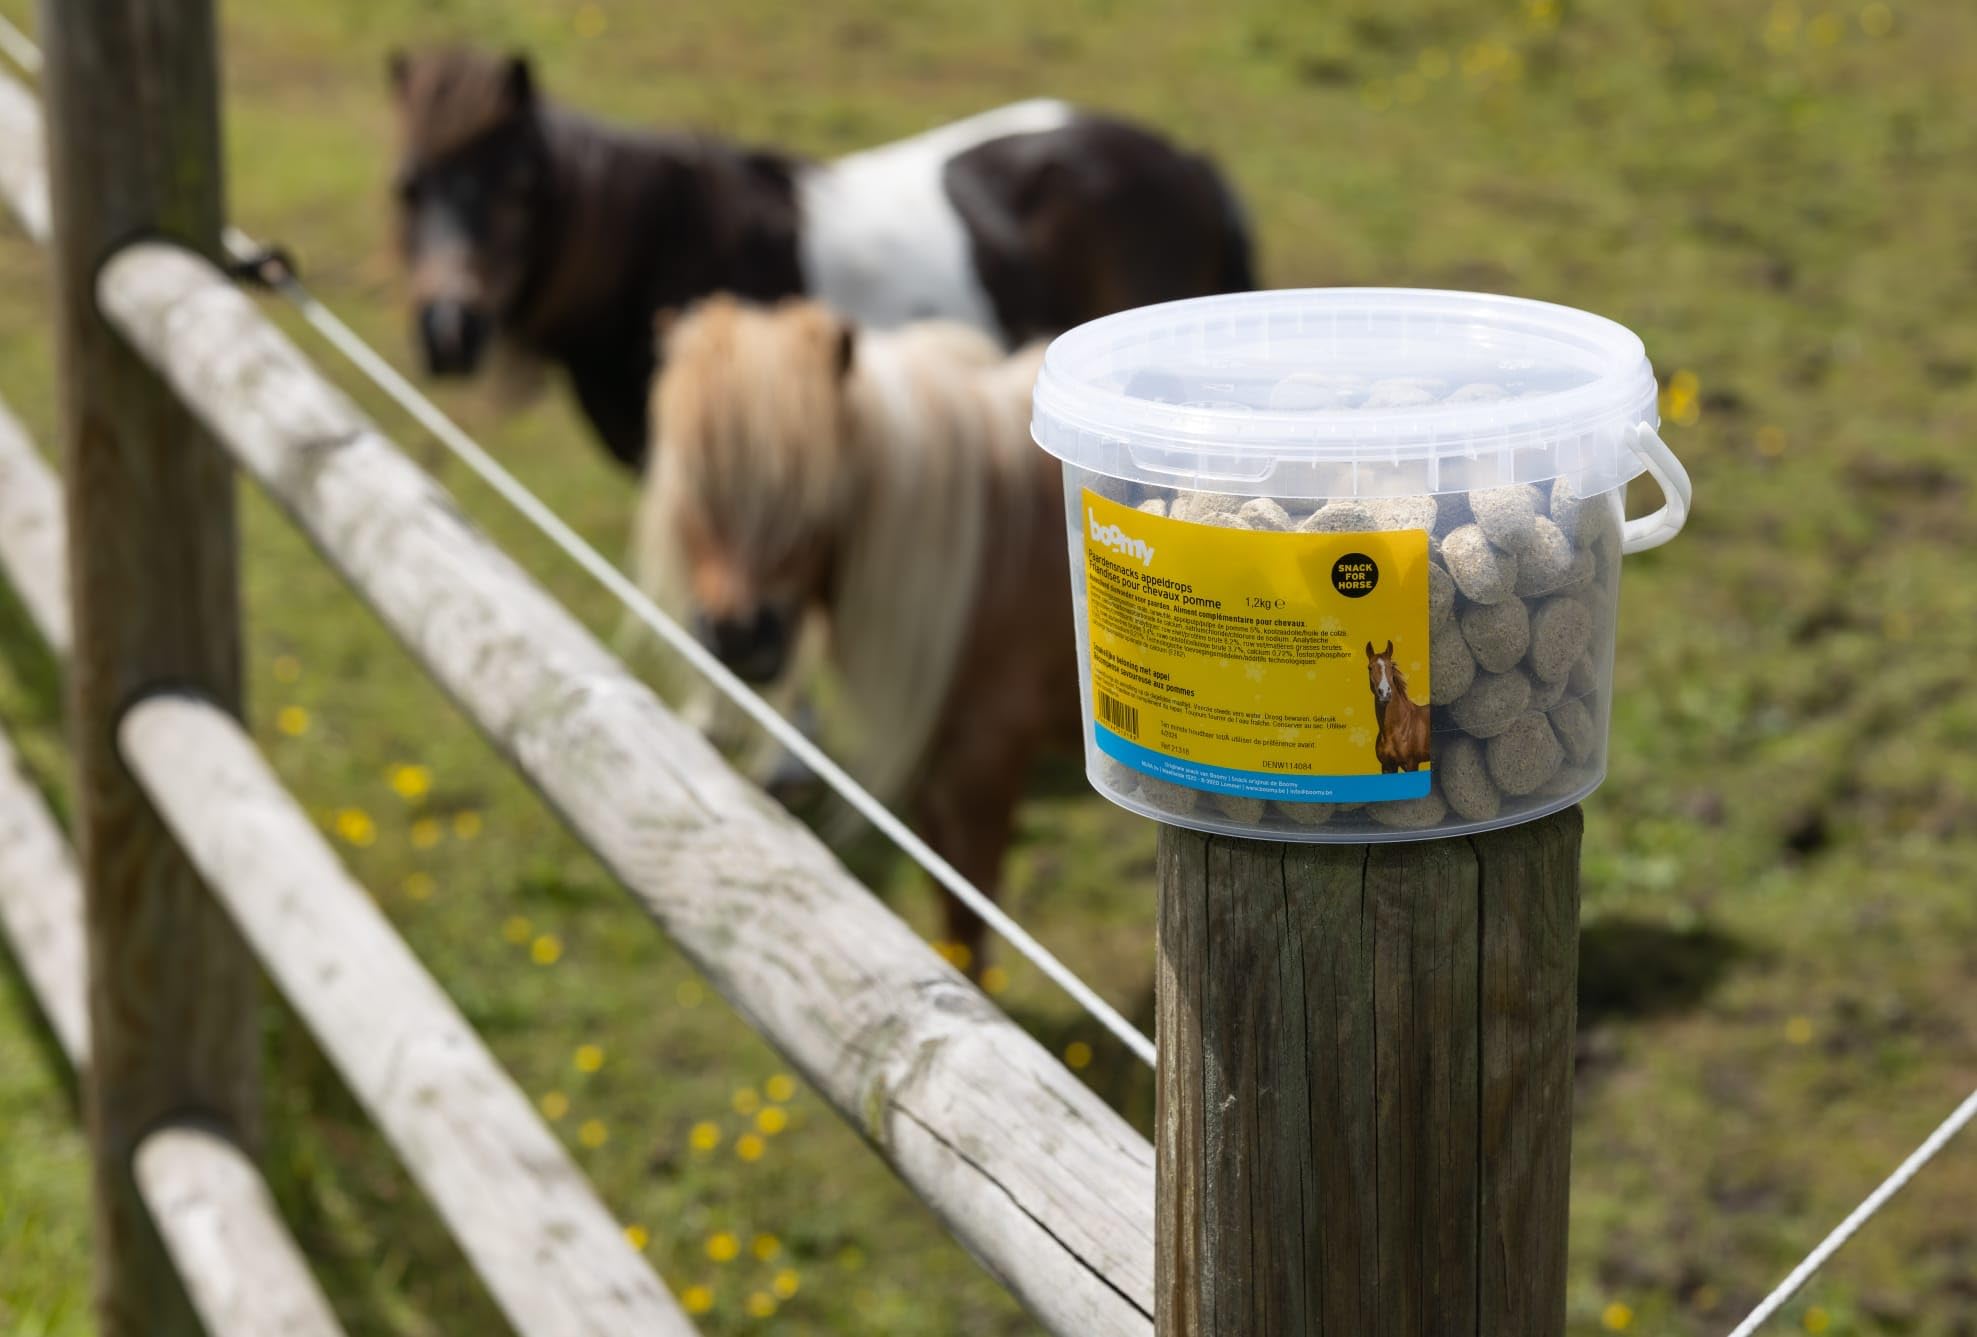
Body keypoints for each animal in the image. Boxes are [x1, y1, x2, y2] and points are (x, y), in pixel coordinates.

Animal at [634, 296, 1079, 968]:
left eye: (808, 492)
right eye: (692, 482)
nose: (739, 637)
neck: (990, 549)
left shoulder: (983, 758)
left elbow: (972, 911)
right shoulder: (932, 758)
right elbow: (951, 907)